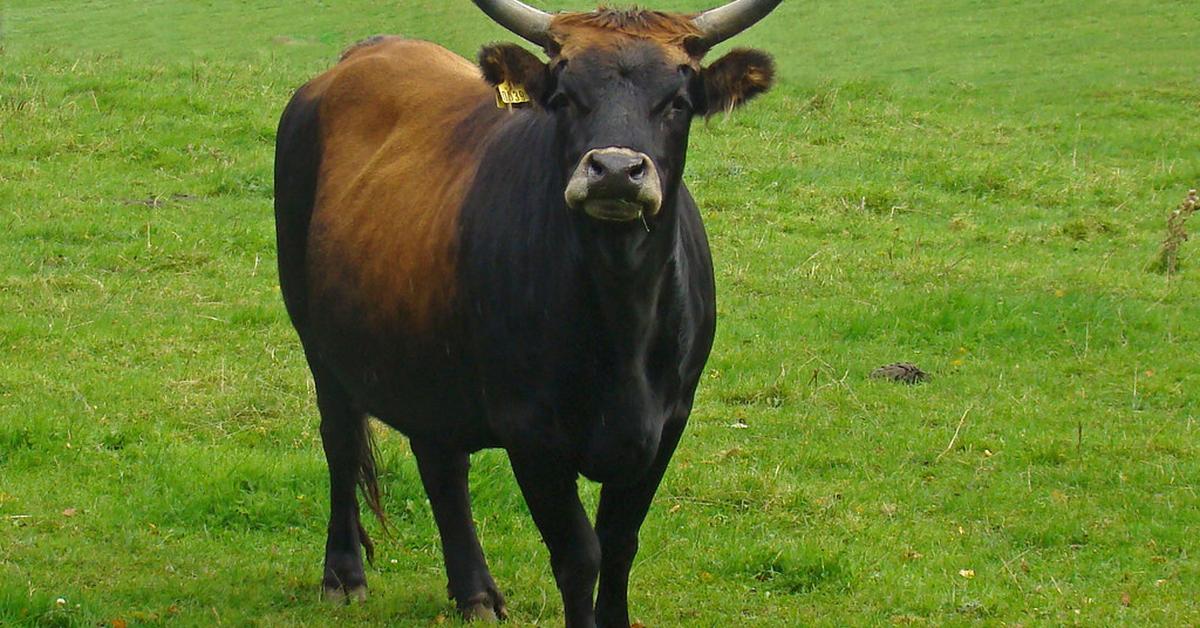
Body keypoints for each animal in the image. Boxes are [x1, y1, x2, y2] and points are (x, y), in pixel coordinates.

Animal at [271, 1, 782, 624]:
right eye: (563, 97)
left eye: (677, 102)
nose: (615, 170)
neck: (621, 319)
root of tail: (359, 57)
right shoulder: (531, 432)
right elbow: (579, 555)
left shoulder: (669, 422)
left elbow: (619, 543)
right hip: (316, 338)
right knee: (341, 440)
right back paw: (344, 573)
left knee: (440, 460)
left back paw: (475, 592)